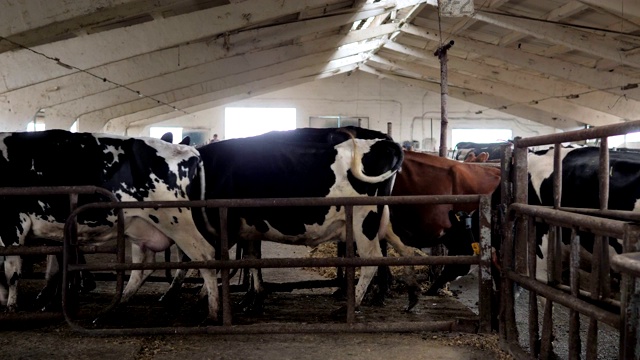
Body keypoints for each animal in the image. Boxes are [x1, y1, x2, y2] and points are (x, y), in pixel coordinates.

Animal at [0, 130, 220, 320]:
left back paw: (211, 311)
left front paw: (11, 306)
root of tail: (188, 150)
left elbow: (11, 271)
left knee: (206, 257)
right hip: (142, 227)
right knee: (143, 267)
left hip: (178, 224)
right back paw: (115, 307)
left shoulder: (12, 225)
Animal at [168, 126, 402, 312]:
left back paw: (353, 304)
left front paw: (196, 297)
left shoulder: (225, 223)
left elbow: (210, 259)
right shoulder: (250, 224)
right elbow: (252, 257)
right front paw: (254, 298)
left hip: (364, 220)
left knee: (371, 259)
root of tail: (383, 141)